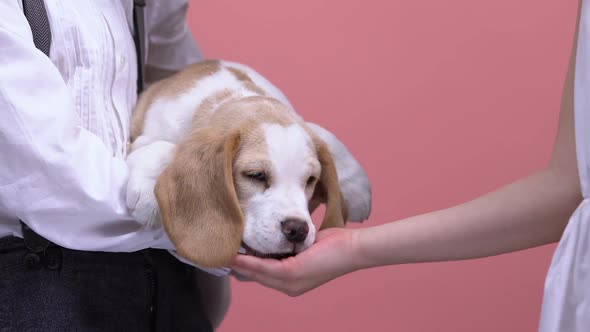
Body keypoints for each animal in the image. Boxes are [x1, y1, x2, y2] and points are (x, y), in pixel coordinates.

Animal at [127, 59, 372, 270]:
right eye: (256, 175)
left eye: (310, 180)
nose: (298, 230)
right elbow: (164, 146)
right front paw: (146, 193)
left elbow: (324, 135)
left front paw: (358, 189)